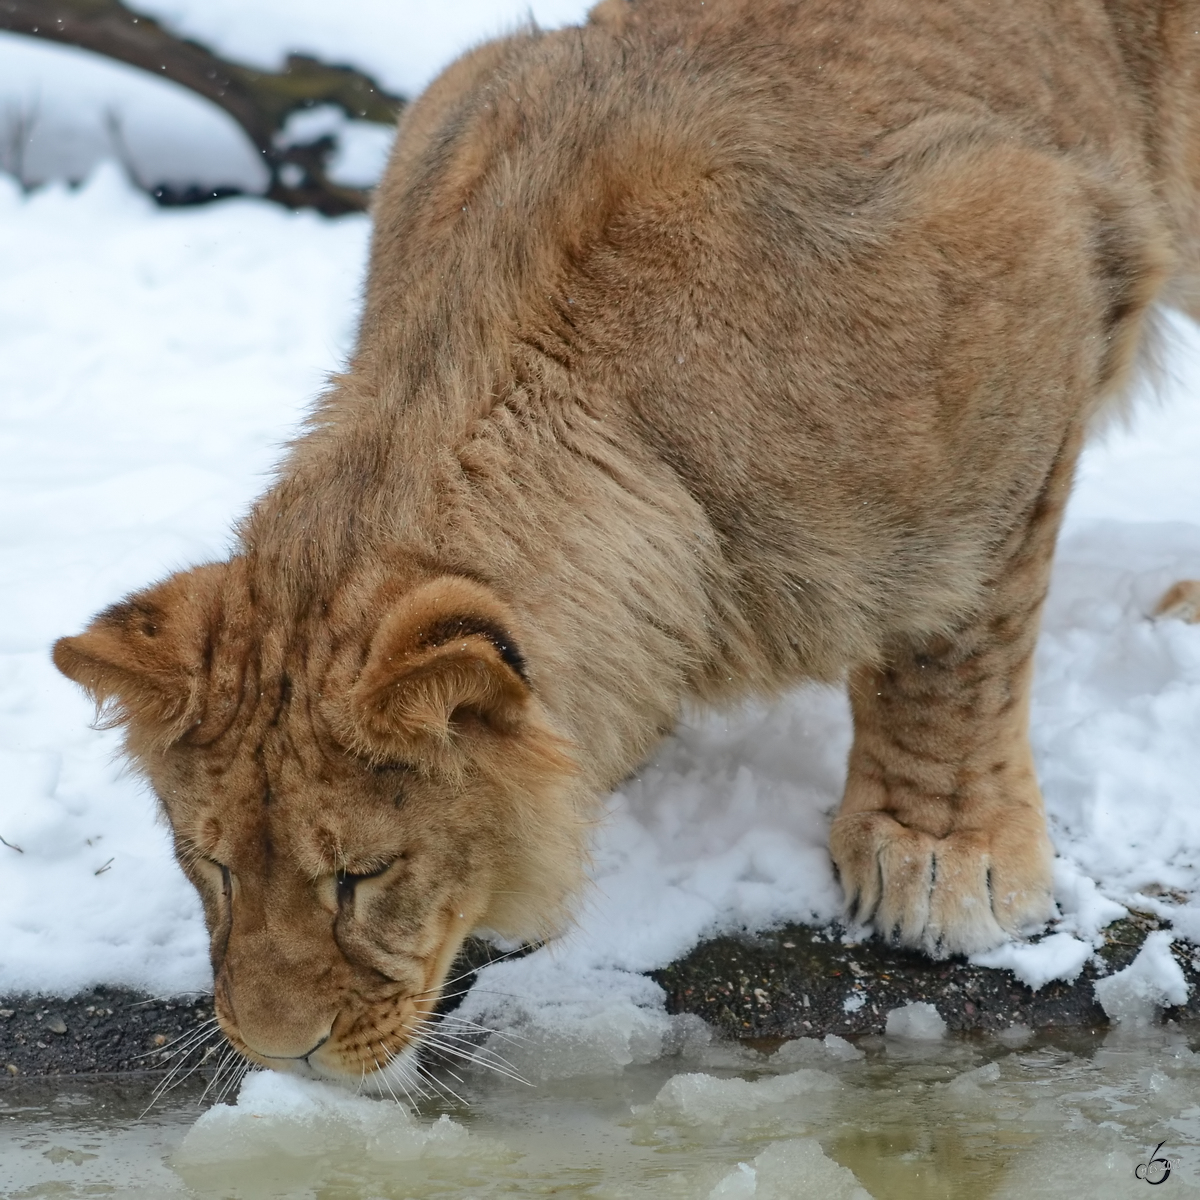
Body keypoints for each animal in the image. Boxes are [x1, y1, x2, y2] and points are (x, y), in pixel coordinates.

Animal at [54, 0, 1200, 1089]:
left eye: (362, 876)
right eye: (209, 866)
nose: (274, 1053)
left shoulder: (1033, 252)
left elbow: (958, 642)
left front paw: (941, 859)